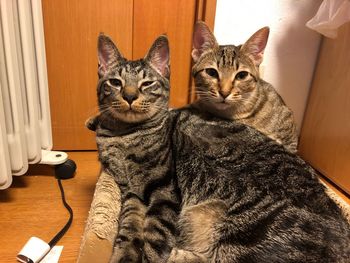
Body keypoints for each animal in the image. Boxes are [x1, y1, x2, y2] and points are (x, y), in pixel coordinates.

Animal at [90, 34, 179, 262]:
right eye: (115, 82)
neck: (124, 135)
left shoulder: (164, 190)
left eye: (147, 83)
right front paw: (125, 253)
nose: (130, 96)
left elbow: (156, 237)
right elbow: (130, 224)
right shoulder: (130, 189)